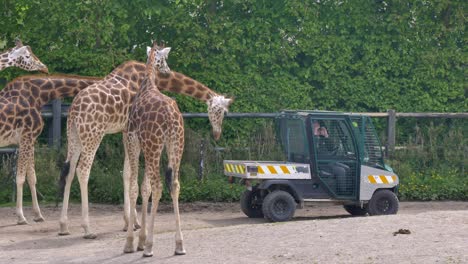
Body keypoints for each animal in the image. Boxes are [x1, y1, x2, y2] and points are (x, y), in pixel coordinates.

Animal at [0, 75, 101, 225]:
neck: (40, 95)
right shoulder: (27, 137)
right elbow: (20, 178)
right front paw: (21, 217)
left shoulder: (29, 140)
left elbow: (32, 178)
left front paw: (38, 215)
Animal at [59, 50, 234, 238]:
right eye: (220, 111)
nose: (217, 134)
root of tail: (74, 109)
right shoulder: (129, 131)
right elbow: (132, 174)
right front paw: (133, 222)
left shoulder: (125, 131)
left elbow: (126, 173)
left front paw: (130, 222)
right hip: (93, 134)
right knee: (83, 170)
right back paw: (88, 228)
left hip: (74, 134)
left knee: (69, 169)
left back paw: (64, 225)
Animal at [122, 41, 185, 258]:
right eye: (164, 59)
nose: (168, 70)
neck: (147, 84)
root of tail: (171, 116)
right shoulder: (142, 145)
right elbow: (145, 187)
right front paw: (140, 240)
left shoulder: (132, 140)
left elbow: (135, 187)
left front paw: (132, 243)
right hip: (175, 145)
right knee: (174, 184)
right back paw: (179, 244)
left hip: (153, 146)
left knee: (158, 186)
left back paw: (150, 246)